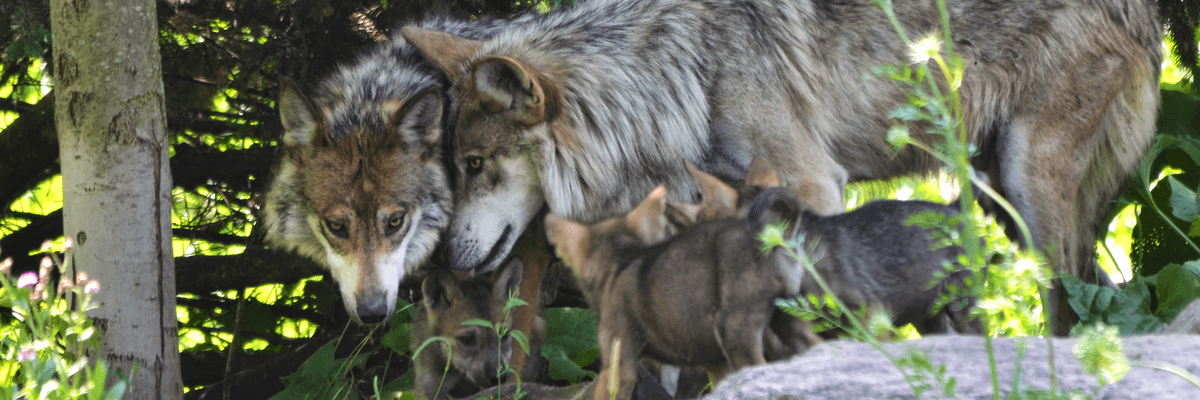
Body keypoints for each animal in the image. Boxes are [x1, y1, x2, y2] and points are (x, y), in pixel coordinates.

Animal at [402, 0, 1161, 334]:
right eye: (453, 166)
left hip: (1029, 192)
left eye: (475, 164)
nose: (444, 263)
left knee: (1065, 298)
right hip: (992, 191)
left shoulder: (812, 185)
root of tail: (1151, 17)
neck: (676, 75)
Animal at [545, 187, 817, 400]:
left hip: (737, 332)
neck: (621, 260)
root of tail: (771, 236)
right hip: (790, 320)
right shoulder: (713, 362)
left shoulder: (619, 363)